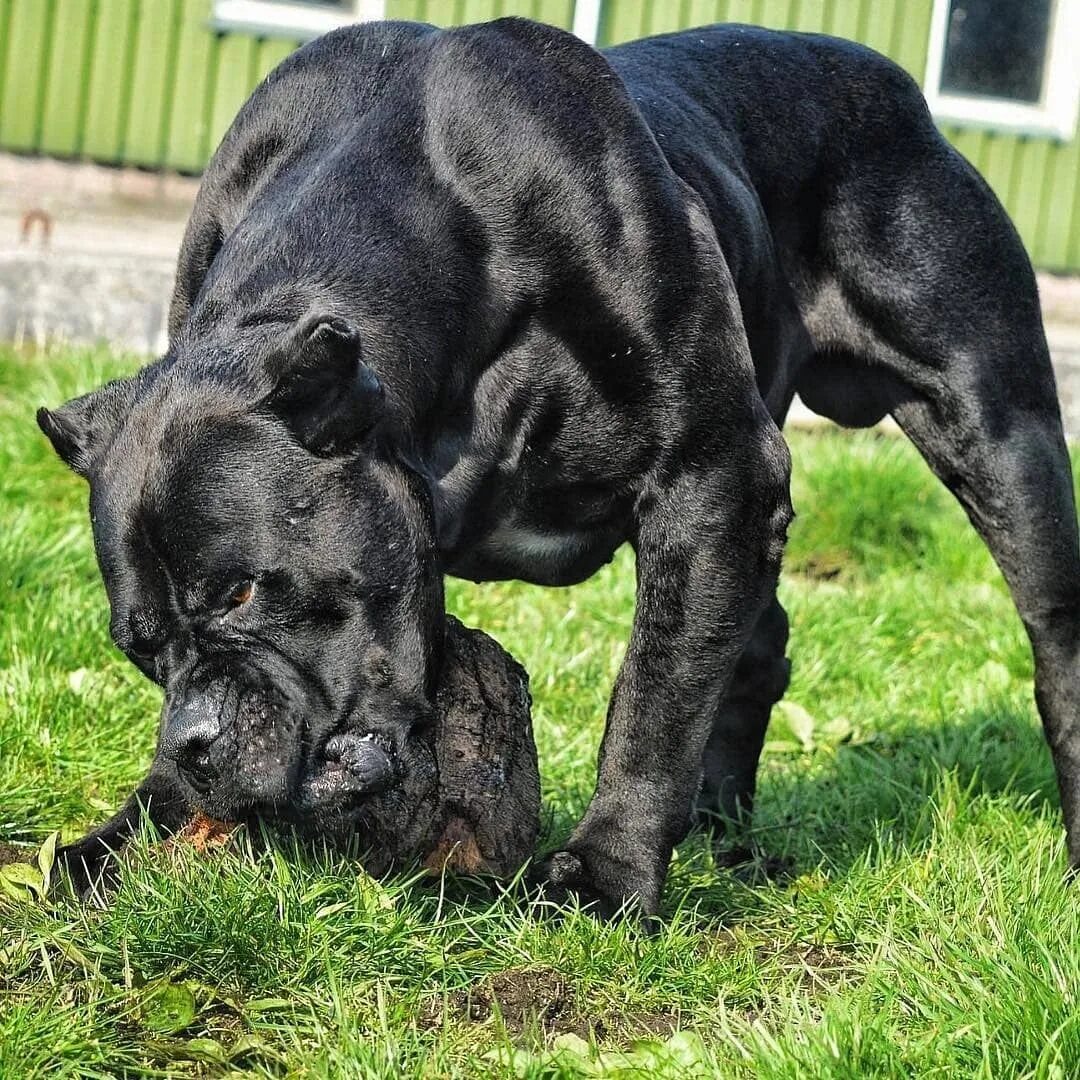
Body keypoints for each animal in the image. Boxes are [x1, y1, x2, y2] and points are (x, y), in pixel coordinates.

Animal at [38, 16, 1080, 915]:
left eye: (246, 592)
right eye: (140, 650)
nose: (196, 741)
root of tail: (898, 89)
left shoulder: (712, 477)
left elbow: (657, 696)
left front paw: (608, 876)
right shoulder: (729, 503)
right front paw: (121, 834)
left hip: (998, 429)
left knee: (1052, 636)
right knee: (756, 647)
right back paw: (721, 834)